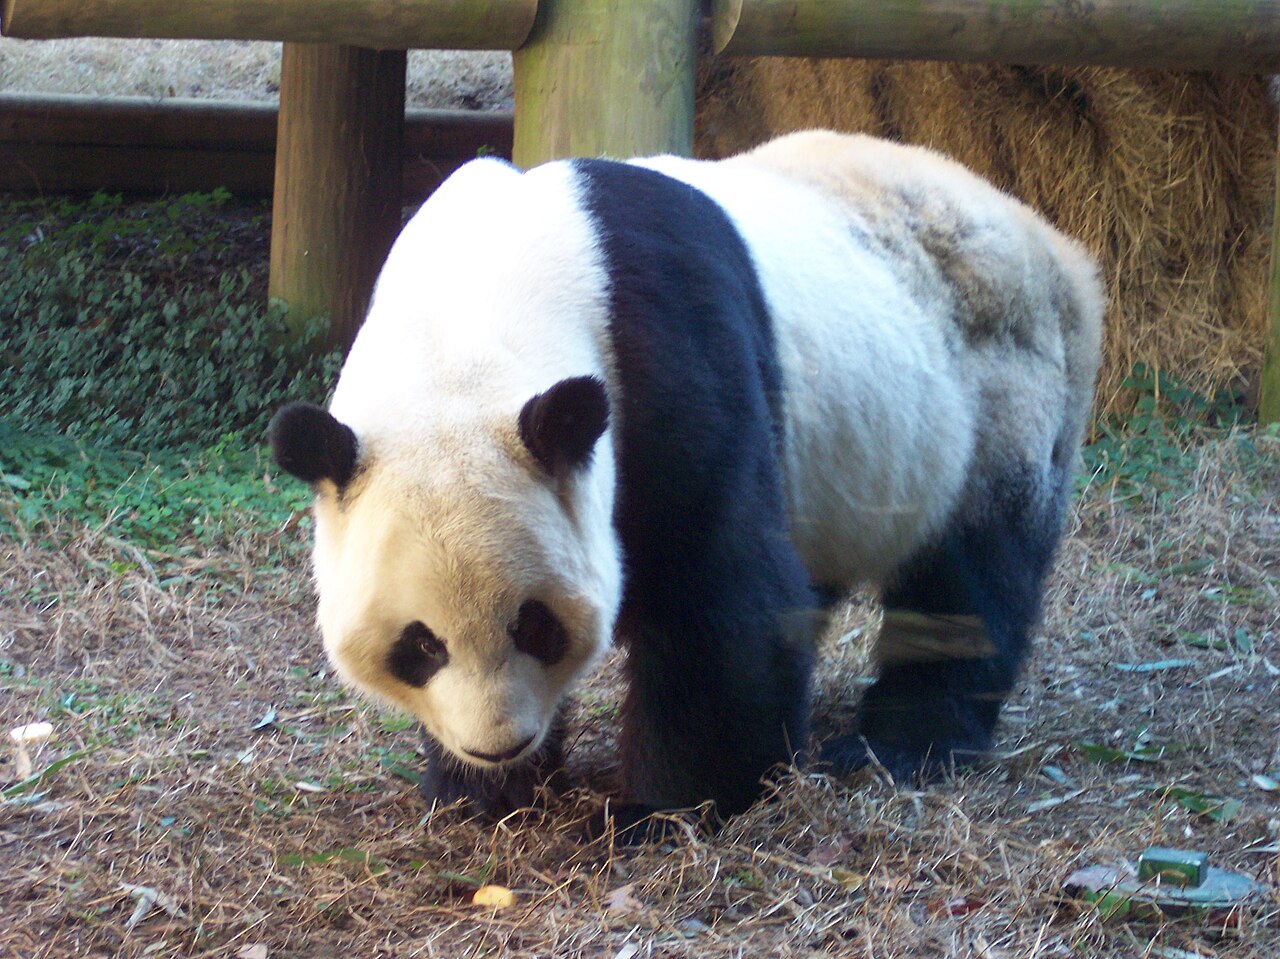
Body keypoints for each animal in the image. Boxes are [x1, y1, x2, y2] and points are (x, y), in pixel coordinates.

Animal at [270, 130, 1103, 833]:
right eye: (420, 644)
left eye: (535, 624)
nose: (500, 742)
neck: (470, 312)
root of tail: (1060, 247)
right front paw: (480, 789)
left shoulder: (664, 350)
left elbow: (717, 592)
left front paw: (663, 809)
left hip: (1001, 388)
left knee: (968, 577)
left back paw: (903, 741)